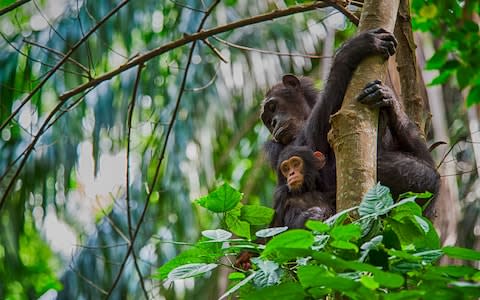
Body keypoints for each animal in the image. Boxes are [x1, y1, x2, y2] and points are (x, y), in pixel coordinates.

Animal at [260, 28, 440, 216]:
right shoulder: (272, 148)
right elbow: (306, 152)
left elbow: (425, 157)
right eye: (266, 120)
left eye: (272, 106)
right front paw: (350, 49)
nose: (273, 123)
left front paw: (388, 99)